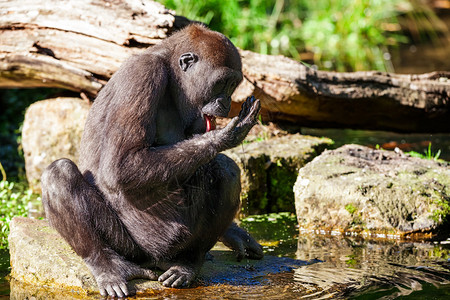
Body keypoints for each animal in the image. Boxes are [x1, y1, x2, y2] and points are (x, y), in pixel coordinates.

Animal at [41, 24, 264, 298]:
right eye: (221, 83)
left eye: (233, 85)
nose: (225, 103)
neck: (171, 71)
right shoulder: (144, 75)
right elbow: (121, 165)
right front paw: (222, 137)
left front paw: (234, 233)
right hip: (138, 248)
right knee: (59, 173)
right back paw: (105, 263)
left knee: (225, 171)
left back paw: (189, 261)